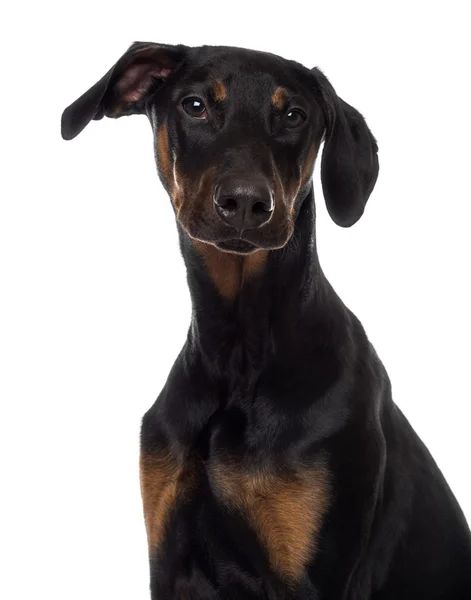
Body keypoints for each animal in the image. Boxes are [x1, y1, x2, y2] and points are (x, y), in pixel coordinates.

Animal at [61, 42, 471, 600]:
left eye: (294, 115)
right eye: (195, 106)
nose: (246, 202)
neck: (239, 349)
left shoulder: (309, 577)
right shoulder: (167, 559)